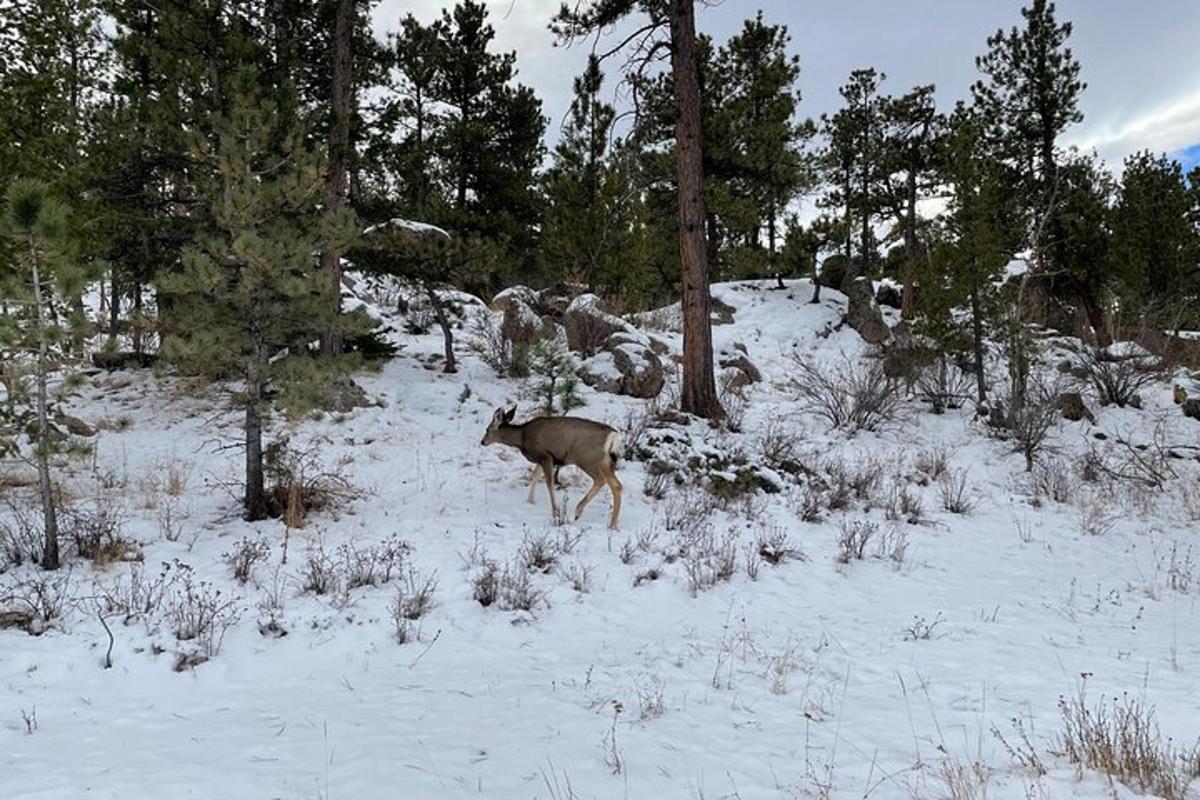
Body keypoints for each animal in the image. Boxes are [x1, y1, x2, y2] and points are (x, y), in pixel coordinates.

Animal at [482, 407, 624, 532]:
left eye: (487, 429)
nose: (482, 441)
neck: (522, 438)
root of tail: (613, 436)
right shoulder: (541, 458)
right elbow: (535, 476)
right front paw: (530, 501)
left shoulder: (545, 455)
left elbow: (549, 483)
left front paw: (556, 512)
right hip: (605, 461)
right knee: (616, 485)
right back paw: (612, 524)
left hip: (587, 459)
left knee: (602, 480)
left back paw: (580, 512)